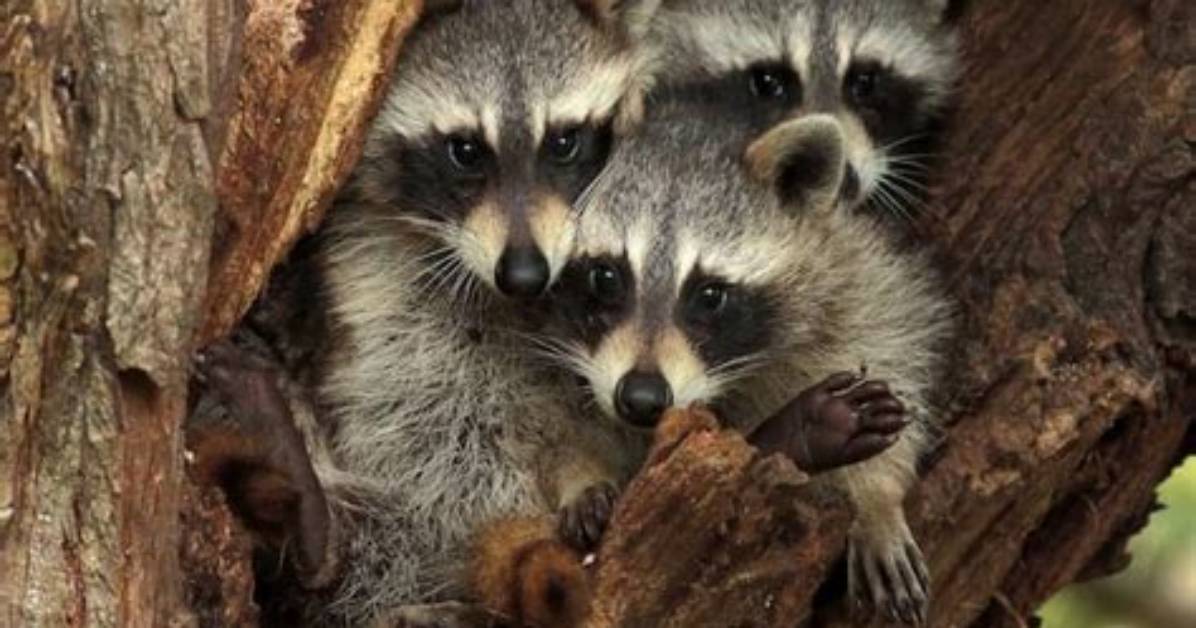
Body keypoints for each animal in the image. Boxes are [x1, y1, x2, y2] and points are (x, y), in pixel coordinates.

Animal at [546, 97, 952, 623]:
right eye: (605, 276)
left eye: (710, 294)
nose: (641, 397)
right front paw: (579, 473)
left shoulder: (848, 267)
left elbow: (891, 340)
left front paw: (877, 498)